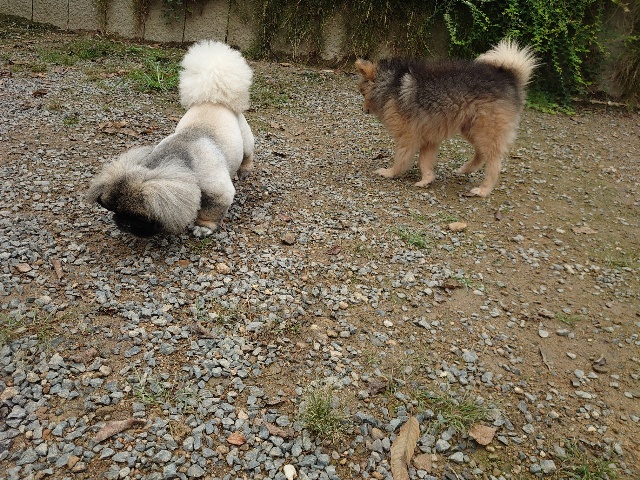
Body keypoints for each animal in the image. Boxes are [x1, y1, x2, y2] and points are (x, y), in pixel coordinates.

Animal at [88, 40, 255, 237]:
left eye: (139, 218)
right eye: (114, 211)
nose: (122, 224)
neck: (182, 158)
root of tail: (212, 99)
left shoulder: (218, 193)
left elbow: (211, 212)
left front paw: (203, 227)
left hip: (246, 141)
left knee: (247, 156)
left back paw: (244, 171)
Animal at [355, 39, 537, 197]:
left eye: (362, 93)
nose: (363, 109)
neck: (389, 84)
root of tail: (510, 77)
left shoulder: (407, 137)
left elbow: (401, 159)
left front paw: (390, 173)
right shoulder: (428, 138)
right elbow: (424, 162)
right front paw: (427, 180)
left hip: (485, 131)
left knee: (493, 164)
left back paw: (483, 190)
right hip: (472, 129)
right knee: (480, 153)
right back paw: (465, 169)